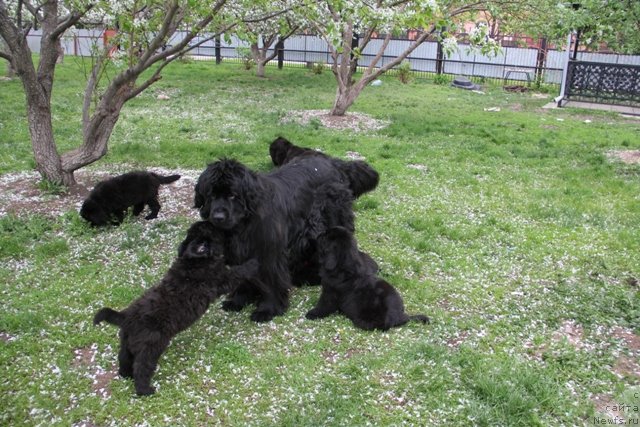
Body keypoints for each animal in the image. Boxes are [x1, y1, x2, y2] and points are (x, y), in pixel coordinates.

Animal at [93, 221, 258, 398]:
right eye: (213, 231)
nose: (216, 222)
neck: (193, 261)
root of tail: (126, 317)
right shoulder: (222, 279)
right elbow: (238, 272)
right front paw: (253, 263)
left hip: (126, 342)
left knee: (123, 358)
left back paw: (125, 375)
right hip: (151, 347)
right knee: (141, 368)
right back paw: (145, 390)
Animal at [192, 155, 378, 322]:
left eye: (232, 195)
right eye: (210, 195)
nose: (218, 217)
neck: (244, 223)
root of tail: (335, 162)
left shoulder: (269, 254)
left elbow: (272, 282)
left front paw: (268, 309)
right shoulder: (242, 254)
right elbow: (243, 276)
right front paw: (239, 299)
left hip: (334, 220)